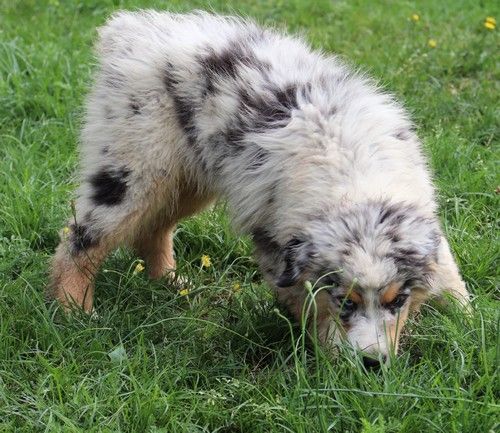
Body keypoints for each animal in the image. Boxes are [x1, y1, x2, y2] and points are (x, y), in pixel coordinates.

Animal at [48, 10, 470, 364]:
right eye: (344, 301)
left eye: (397, 300)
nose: (372, 364)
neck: (356, 181)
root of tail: (128, 30)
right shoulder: (274, 241)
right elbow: (308, 306)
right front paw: (331, 363)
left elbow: (451, 280)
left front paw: (467, 324)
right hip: (134, 168)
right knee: (81, 239)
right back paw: (75, 311)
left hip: (187, 178)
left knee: (153, 227)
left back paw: (170, 282)